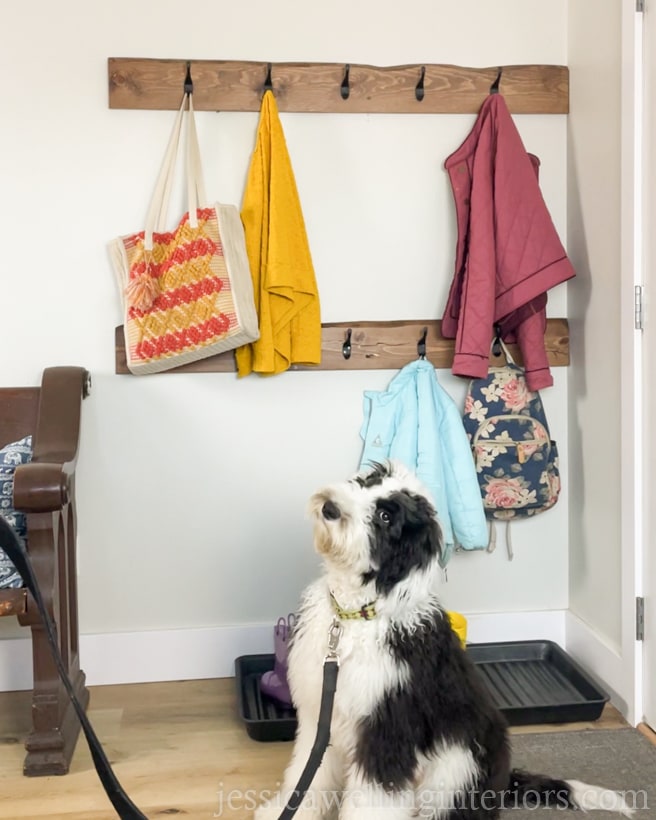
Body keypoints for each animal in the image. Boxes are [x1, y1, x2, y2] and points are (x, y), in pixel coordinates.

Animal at [255, 464, 632, 816]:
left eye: (386, 516)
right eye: (368, 482)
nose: (330, 507)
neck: (355, 615)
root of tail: (502, 785)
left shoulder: (388, 730)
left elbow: (374, 801)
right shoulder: (321, 717)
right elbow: (307, 775)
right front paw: (284, 811)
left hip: (457, 766)